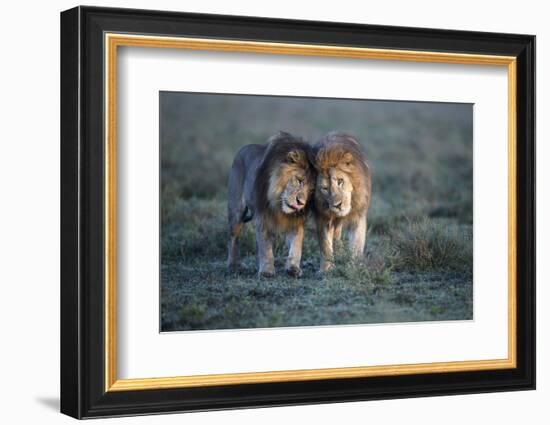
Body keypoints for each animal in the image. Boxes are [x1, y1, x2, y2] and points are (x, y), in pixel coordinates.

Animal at [229, 132, 314, 278]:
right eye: (299, 181)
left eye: (312, 190)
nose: (301, 203)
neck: (278, 203)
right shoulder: (262, 218)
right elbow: (266, 248)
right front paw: (266, 271)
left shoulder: (296, 220)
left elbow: (296, 245)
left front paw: (293, 268)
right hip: (236, 211)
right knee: (233, 238)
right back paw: (233, 265)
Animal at [312, 131, 374, 274]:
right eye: (324, 188)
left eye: (340, 181)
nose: (337, 205)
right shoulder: (322, 217)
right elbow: (325, 244)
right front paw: (326, 269)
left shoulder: (358, 216)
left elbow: (356, 245)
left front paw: (353, 267)